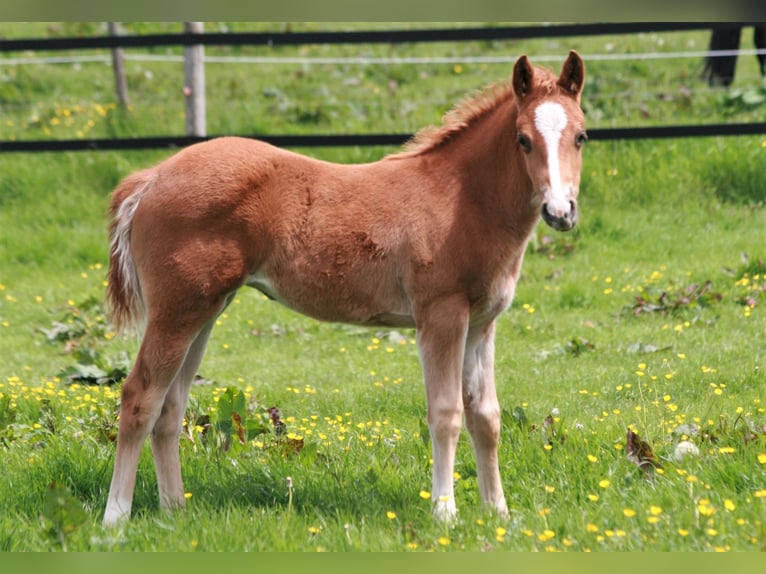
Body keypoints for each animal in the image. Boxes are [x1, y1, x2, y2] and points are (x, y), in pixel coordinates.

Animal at [103, 51, 588, 528]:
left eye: (581, 136)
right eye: (523, 139)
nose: (560, 211)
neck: (461, 200)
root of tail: (151, 178)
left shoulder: (482, 324)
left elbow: (486, 417)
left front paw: (498, 512)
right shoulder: (441, 316)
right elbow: (446, 414)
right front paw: (445, 513)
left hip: (204, 310)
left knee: (170, 407)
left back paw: (175, 511)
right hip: (177, 311)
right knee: (140, 397)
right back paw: (115, 518)